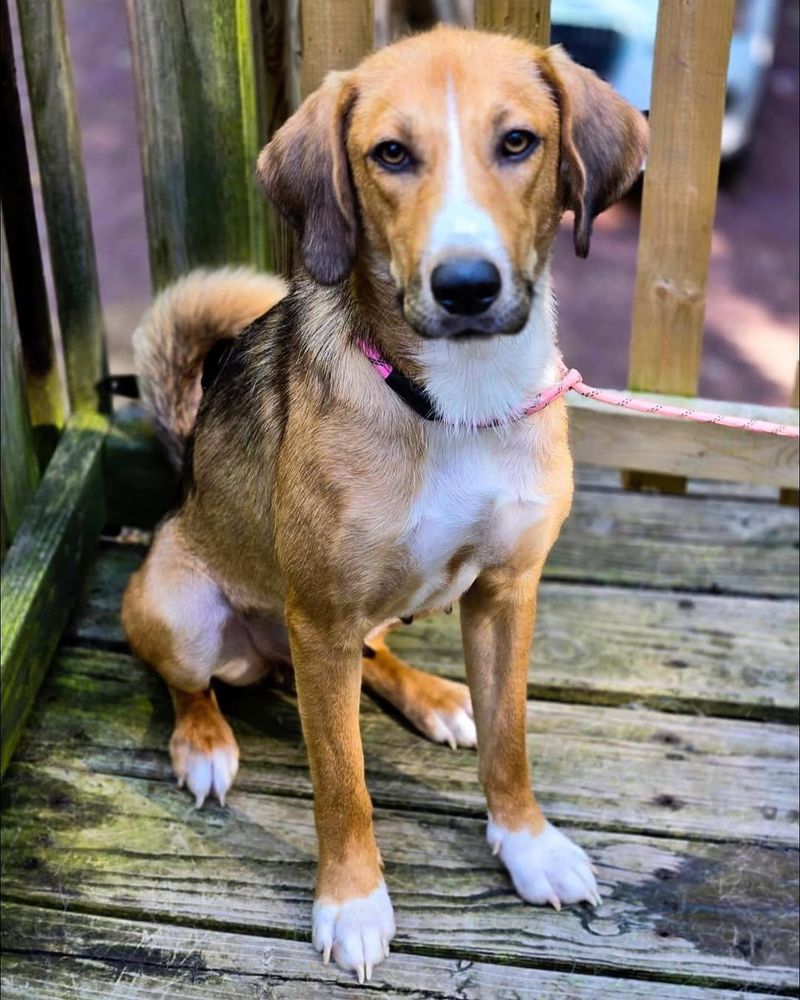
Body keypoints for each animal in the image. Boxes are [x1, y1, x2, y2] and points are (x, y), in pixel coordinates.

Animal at [122, 25, 648, 984]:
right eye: (391, 155)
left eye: (518, 142)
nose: (467, 285)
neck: (462, 400)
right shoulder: (323, 616)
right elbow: (343, 780)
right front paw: (353, 901)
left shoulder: (506, 593)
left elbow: (512, 739)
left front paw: (529, 844)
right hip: (185, 608)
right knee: (190, 685)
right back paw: (206, 745)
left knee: (377, 657)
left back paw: (434, 697)